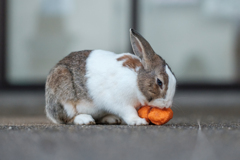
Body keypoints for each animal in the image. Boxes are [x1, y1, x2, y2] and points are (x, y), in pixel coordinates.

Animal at [45, 28, 176, 125]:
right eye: (159, 82)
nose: (167, 105)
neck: (136, 80)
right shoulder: (120, 102)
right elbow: (129, 111)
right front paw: (138, 121)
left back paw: (112, 118)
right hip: (65, 98)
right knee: (66, 118)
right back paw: (84, 119)